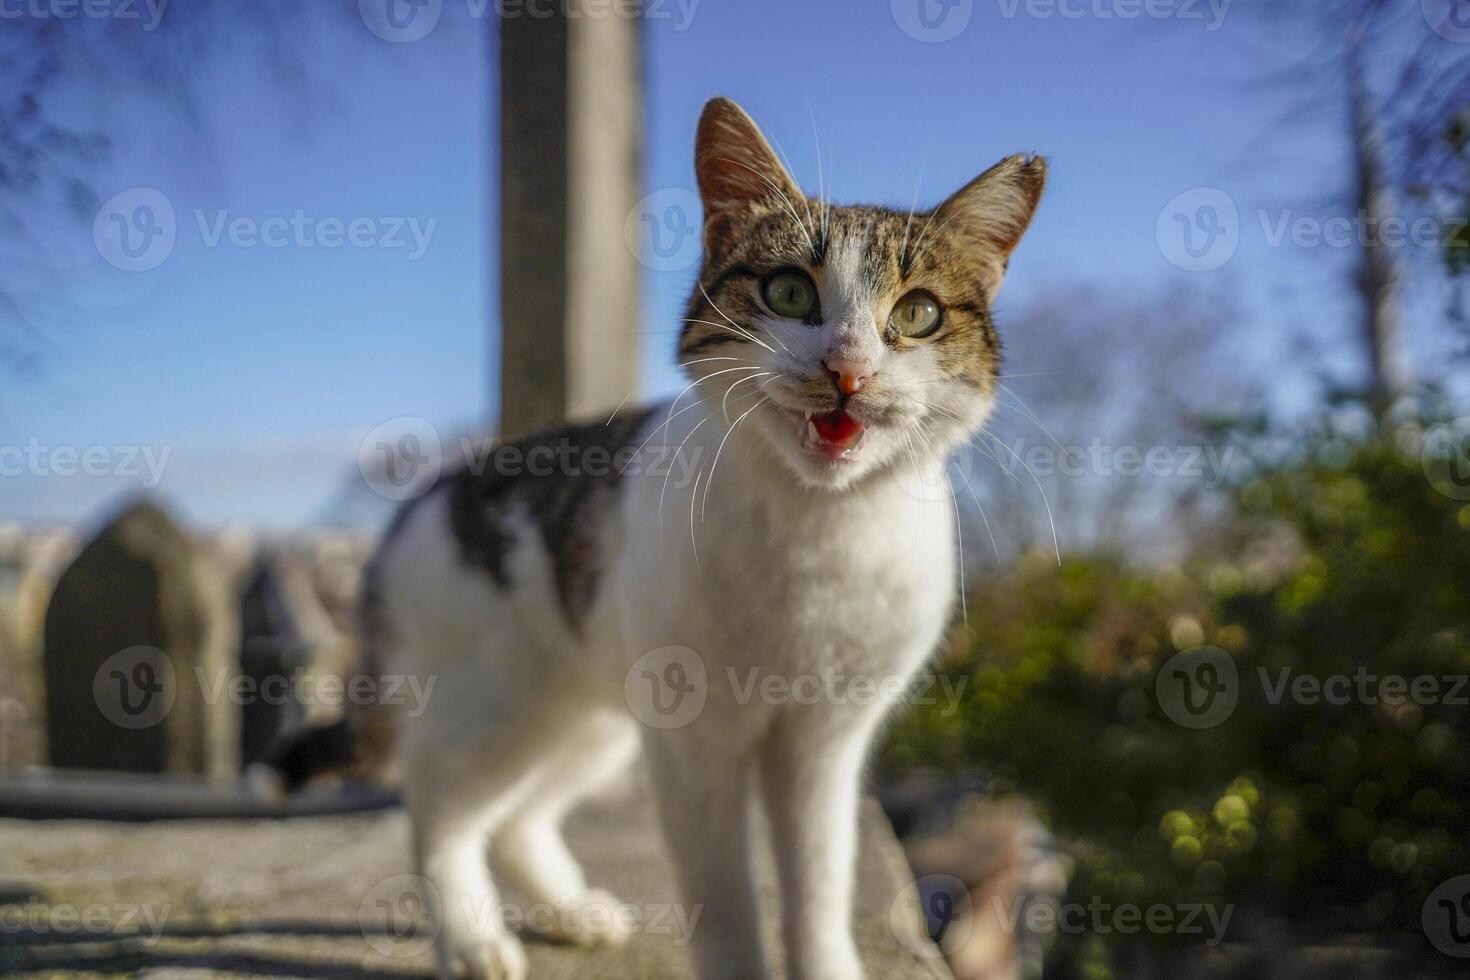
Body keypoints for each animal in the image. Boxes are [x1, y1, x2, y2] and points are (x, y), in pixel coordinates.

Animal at [264, 97, 1046, 980]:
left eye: (917, 313)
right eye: (788, 291)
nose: (847, 368)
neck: (818, 530)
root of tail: (419, 501)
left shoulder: (823, 742)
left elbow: (817, 880)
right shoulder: (695, 744)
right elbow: (725, 893)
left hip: (588, 720)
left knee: (516, 816)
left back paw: (569, 912)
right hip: (494, 704)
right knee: (438, 800)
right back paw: (471, 940)